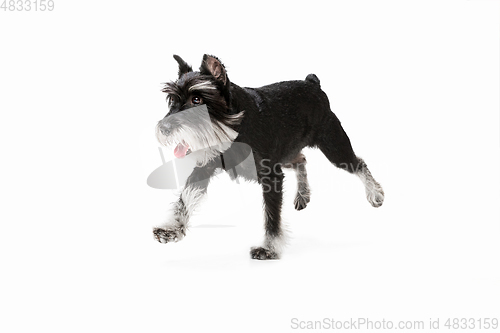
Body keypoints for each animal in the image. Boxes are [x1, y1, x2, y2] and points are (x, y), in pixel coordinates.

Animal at [152, 53, 382, 260]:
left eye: (197, 99)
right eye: (172, 99)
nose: (164, 129)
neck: (236, 125)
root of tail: (313, 84)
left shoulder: (271, 176)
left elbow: (272, 216)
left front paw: (269, 248)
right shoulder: (205, 166)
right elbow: (185, 197)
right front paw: (171, 228)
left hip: (334, 147)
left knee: (358, 164)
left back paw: (375, 194)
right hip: (288, 152)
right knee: (301, 160)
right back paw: (303, 194)